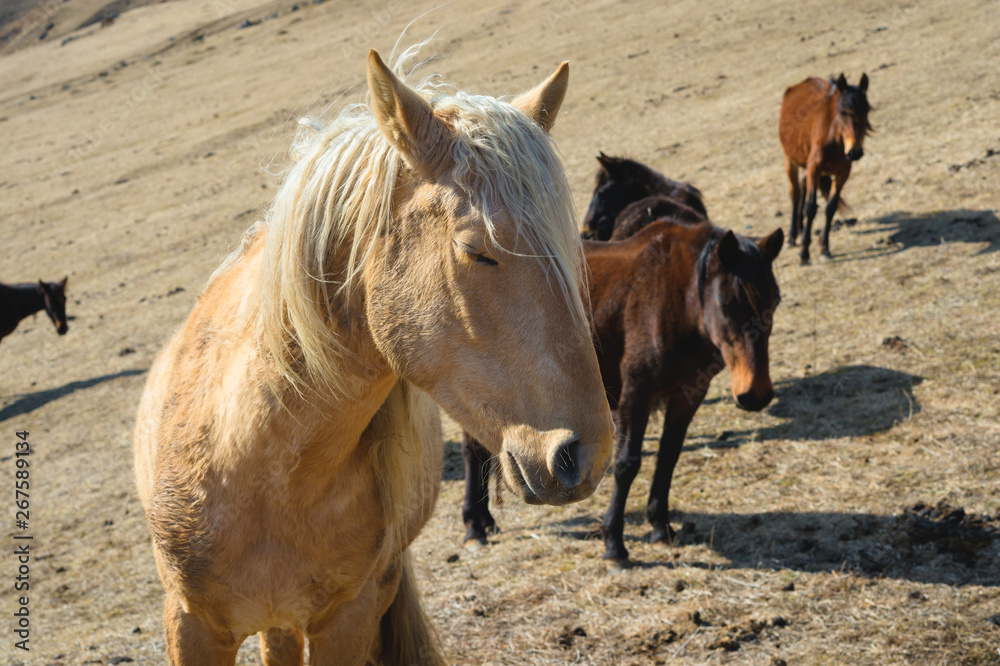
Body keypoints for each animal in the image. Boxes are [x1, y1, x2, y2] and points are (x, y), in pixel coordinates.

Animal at [462, 218, 783, 564]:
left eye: (775, 301)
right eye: (726, 304)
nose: (756, 394)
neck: (677, 302)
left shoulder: (688, 394)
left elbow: (668, 457)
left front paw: (660, 526)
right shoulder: (637, 396)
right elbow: (627, 464)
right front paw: (614, 542)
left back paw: (485, 520)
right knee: (472, 450)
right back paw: (474, 526)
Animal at [780, 73, 872, 263]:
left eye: (866, 111)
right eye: (843, 112)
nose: (855, 152)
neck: (835, 139)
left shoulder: (843, 173)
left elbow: (831, 207)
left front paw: (824, 247)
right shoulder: (814, 168)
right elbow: (811, 207)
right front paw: (804, 252)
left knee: (803, 186)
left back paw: (801, 227)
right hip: (790, 161)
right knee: (795, 193)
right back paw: (792, 236)